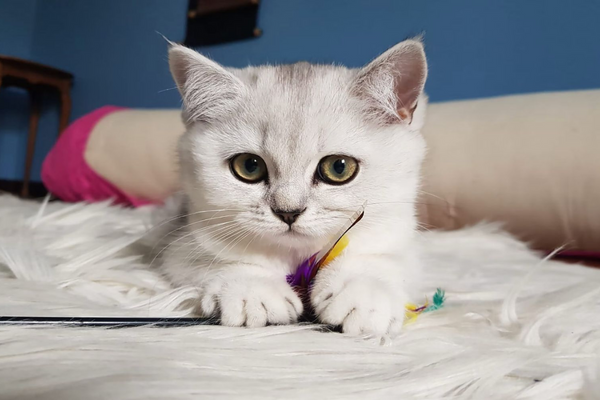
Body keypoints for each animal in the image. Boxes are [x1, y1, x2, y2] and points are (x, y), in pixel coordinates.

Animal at [159, 38, 428, 338]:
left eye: (339, 168)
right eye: (249, 166)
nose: (288, 212)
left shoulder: (405, 242)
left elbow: (382, 258)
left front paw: (363, 292)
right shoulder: (180, 244)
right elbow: (217, 258)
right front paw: (252, 289)